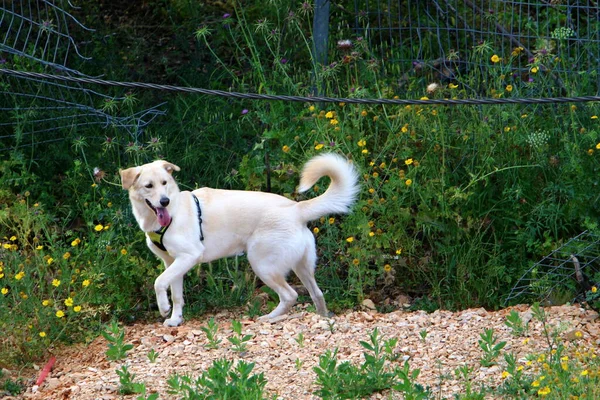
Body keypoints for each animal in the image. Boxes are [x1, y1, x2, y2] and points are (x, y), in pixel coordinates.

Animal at [119, 152, 358, 324]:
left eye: (165, 183)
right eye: (149, 186)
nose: (165, 201)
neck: (170, 214)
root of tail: (297, 209)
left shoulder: (189, 257)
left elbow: (159, 282)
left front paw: (163, 308)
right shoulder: (173, 263)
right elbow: (176, 294)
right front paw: (175, 319)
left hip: (262, 264)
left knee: (290, 295)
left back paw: (269, 318)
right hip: (302, 267)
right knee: (317, 293)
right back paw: (322, 317)